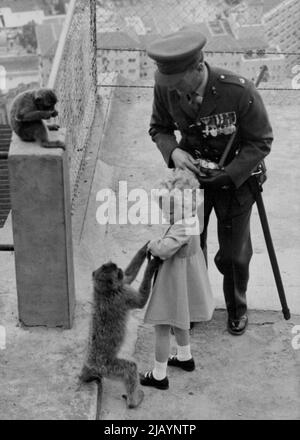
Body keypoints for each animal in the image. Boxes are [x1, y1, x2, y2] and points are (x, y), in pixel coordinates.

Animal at [78, 241, 161, 410]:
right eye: (116, 270)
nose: (119, 269)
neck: (104, 292)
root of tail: (92, 363)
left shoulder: (120, 288)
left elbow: (129, 277)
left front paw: (143, 250)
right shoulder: (122, 295)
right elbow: (141, 300)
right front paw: (151, 266)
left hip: (96, 366)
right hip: (107, 367)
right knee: (130, 369)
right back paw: (133, 402)